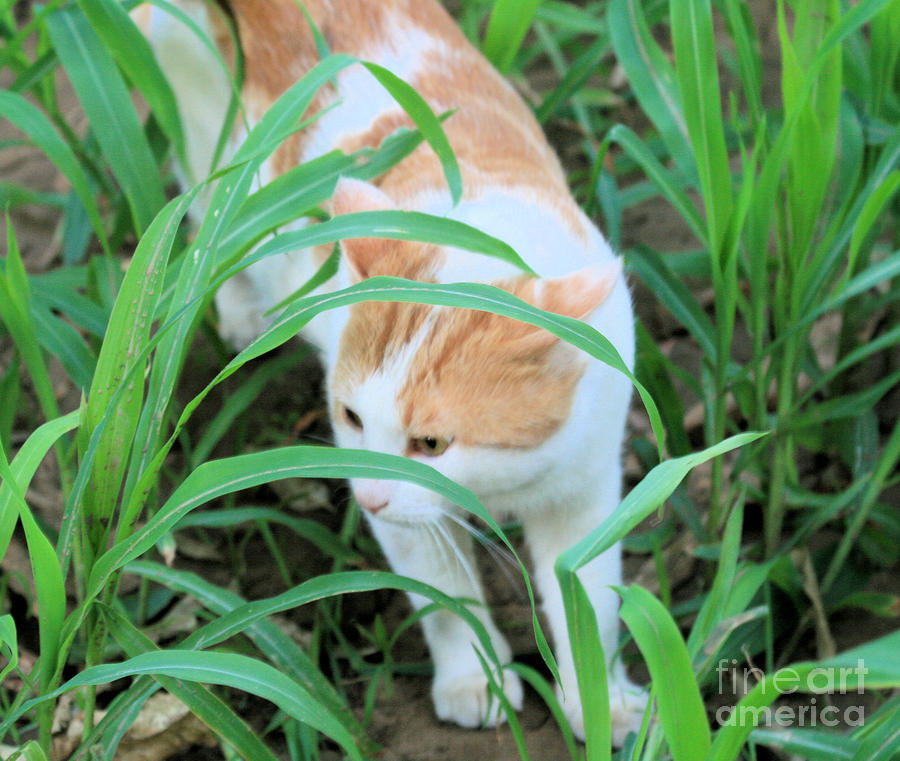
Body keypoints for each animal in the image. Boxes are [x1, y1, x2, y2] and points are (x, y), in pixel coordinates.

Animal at [137, 0, 648, 744]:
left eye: (432, 443)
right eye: (352, 417)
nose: (370, 499)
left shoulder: (586, 482)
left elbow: (590, 602)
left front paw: (605, 702)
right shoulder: (403, 510)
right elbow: (443, 594)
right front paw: (475, 680)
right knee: (208, 228)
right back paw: (241, 312)